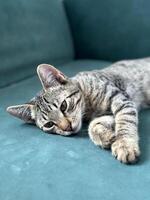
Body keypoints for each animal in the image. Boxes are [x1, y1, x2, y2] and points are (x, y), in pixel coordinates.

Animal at [7, 57, 150, 164]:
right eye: (49, 124)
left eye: (63, 106)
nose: (67, 127)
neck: (89, 107)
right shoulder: (107, 113)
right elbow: (93, 125)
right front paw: (105, 136)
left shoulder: (121, 99)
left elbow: (125, 120)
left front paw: (124, 144)